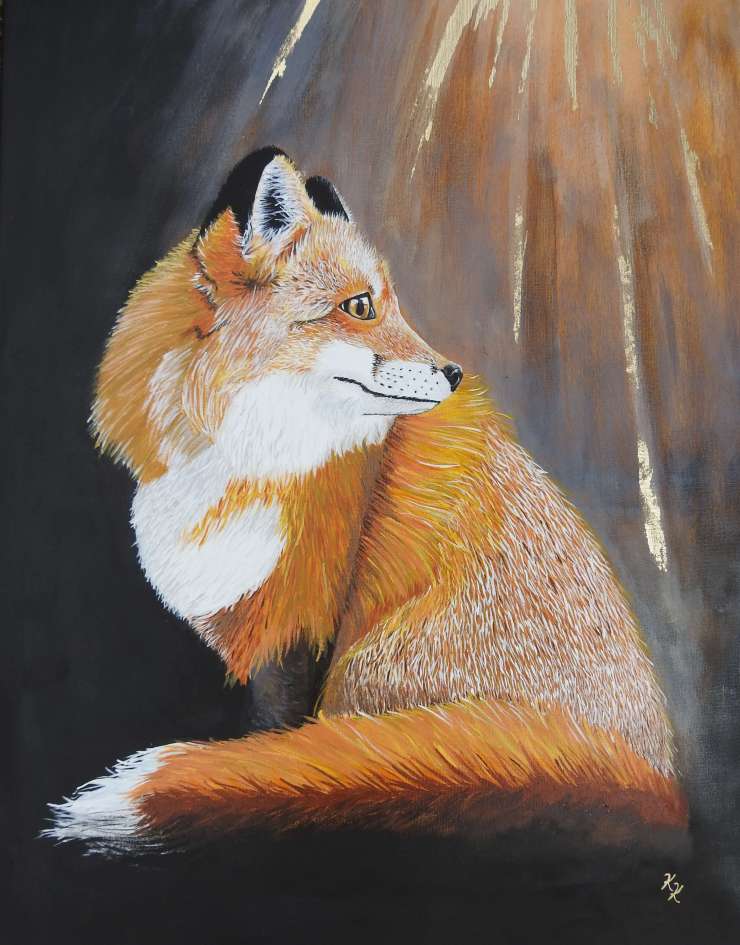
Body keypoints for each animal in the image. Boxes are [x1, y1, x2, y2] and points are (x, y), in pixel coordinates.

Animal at [45, 147, 685, 854]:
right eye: (359, 306)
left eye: (392, 306)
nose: (455, 373)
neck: (249, 459)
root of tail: (650, 775)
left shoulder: (301, 621)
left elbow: (277, 741)